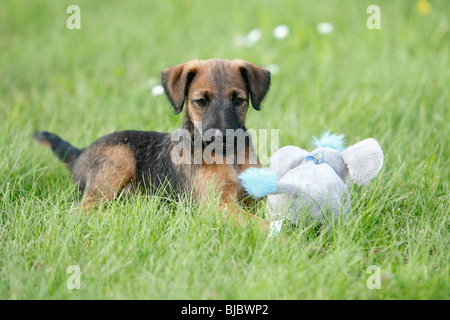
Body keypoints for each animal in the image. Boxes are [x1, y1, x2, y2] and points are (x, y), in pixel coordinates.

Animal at [34, 58, 270, 229]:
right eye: (201, 101)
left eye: (238, 100)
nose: (222, 137)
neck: (230, 157)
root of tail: (79, 153)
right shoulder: (218, 205)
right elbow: (261, 224)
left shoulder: (252, 199)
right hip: (120, 157)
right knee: (83, 209)